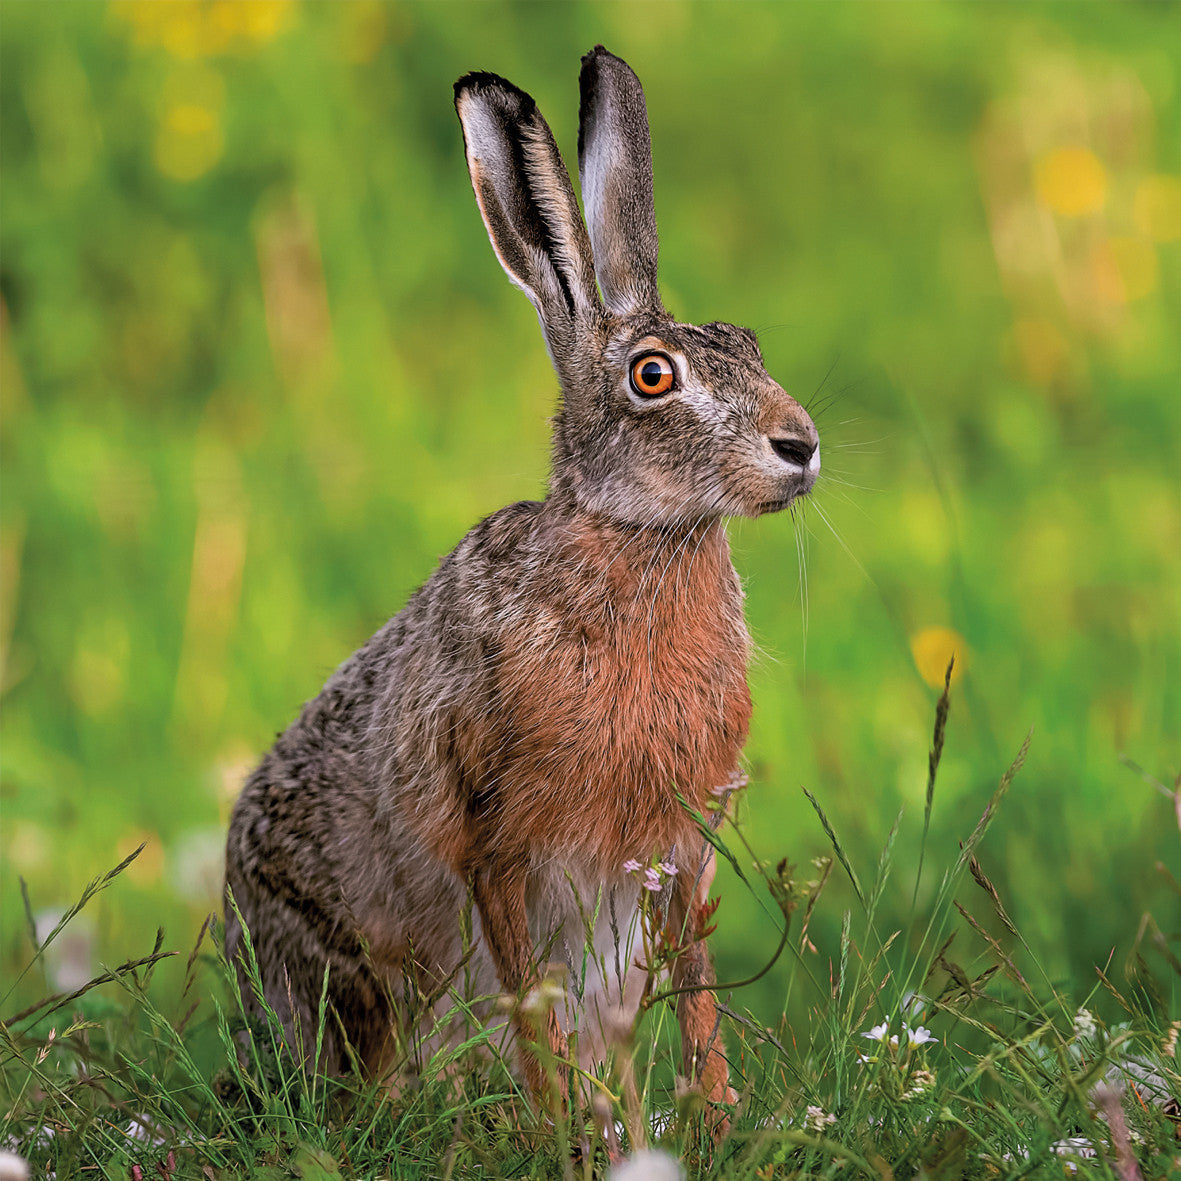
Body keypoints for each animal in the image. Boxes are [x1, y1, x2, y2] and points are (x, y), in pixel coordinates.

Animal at [223, 45, 820, 1123]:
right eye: (653, 377)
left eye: (748, 342)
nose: (799, 445)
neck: (636, 540)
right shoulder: (496, 844)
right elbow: (529, 1004)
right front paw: (556, 1134)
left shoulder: (678, 846)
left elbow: (697, 991)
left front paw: (714, 1121)